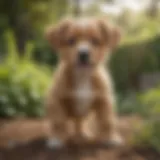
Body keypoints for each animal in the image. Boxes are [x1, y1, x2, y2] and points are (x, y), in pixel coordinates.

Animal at [45, 17, 123, 149]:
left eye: (95, 41)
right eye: (71, 41)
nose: (83, 54)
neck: (83, 76)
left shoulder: (104, 100)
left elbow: (107, 121)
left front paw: (111, 138)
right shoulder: (58, 100)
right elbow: (59, 122)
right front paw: (57, 139)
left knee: (80, 122)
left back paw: (83, 133)